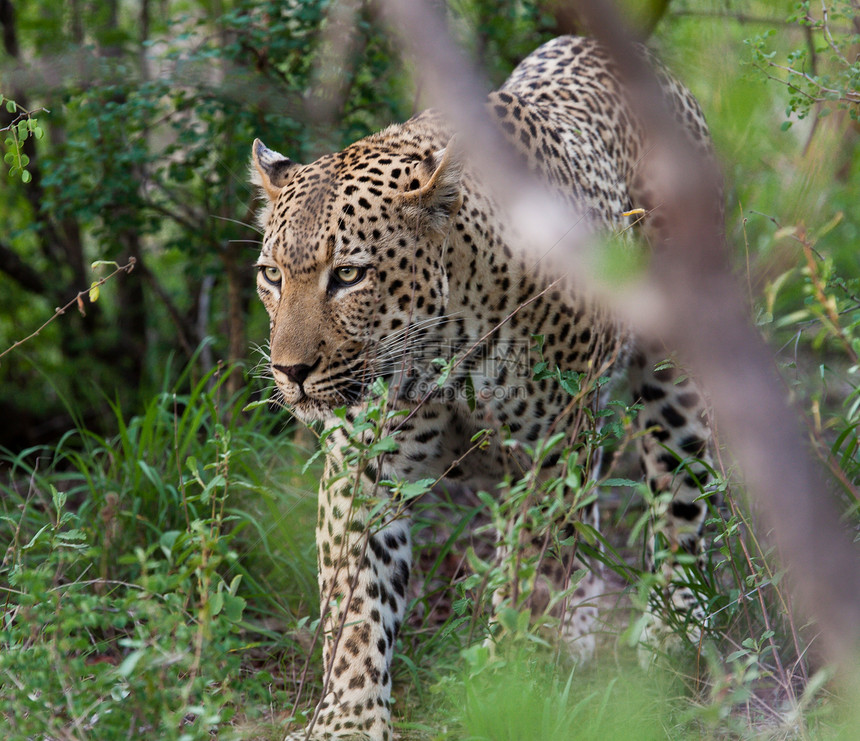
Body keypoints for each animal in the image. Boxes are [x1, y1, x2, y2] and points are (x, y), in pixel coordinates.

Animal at [250, 34, 720, 740]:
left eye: (350, 275)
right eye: (272, 276)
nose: (290, 372)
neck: (441, 351)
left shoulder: (551, 453)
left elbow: (529, 577)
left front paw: (508, 687)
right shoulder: (363, 463)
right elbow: (357, 602)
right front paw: (349, 720)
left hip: (675, 376)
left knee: (681, 495)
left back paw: (675, 625)